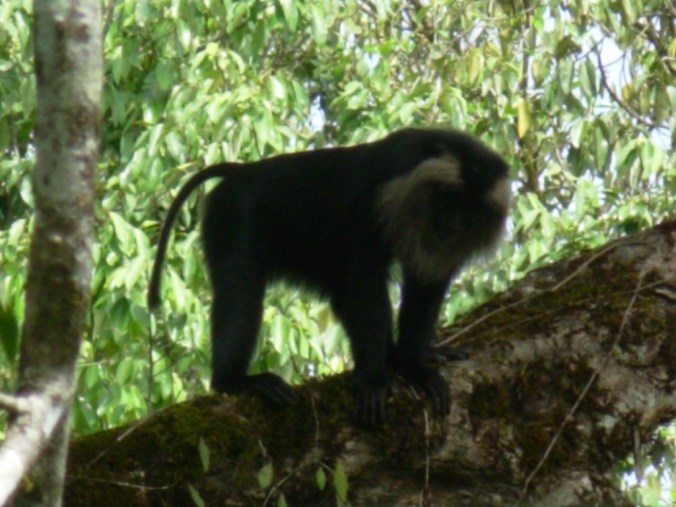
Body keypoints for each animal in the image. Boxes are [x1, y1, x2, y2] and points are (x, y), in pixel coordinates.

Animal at [148, 127, 511, 427]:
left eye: (471, 209)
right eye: (451, 198)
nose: (452, 224)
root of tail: (242, 171)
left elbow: (425, 284)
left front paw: (414, 366)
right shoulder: (374, 201)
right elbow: (364, 281)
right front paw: (373, 380)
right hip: (233, 213)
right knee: (241, 291)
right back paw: (234, 381)